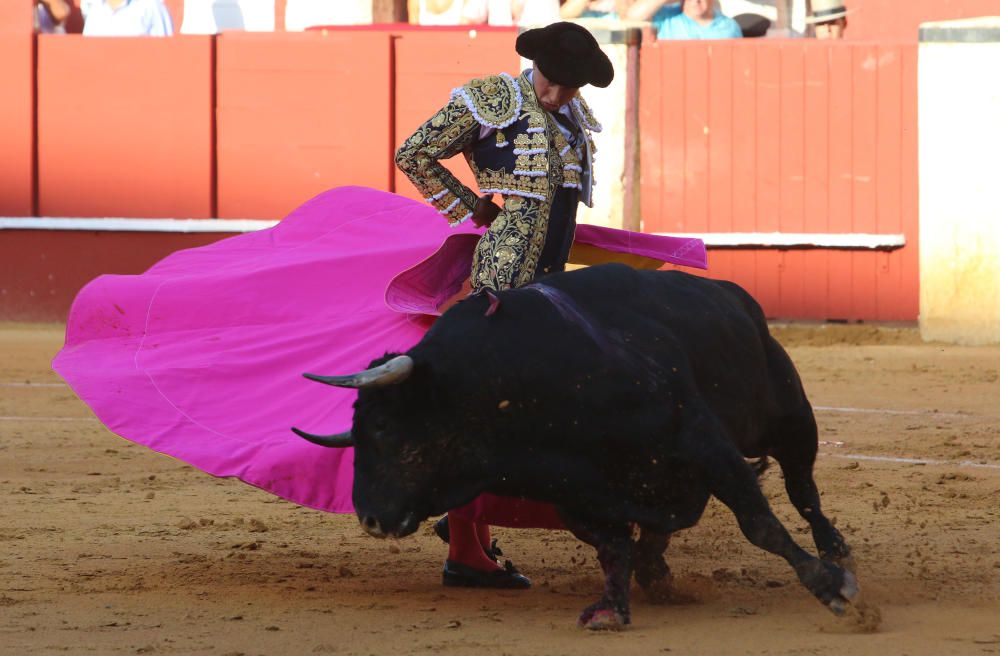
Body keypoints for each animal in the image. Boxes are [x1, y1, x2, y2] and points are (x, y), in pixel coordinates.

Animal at [292, 264, 856, 628]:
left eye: (384, 427)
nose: (370, 518)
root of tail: (733, 293)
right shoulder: (573, 491)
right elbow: (612, 544)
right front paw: (613, 605)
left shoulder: (703, 440)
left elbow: (760, 523)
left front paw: (829, 587)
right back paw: (656, 570)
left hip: (788, 418)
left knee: (803, 490)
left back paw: (837, 555)